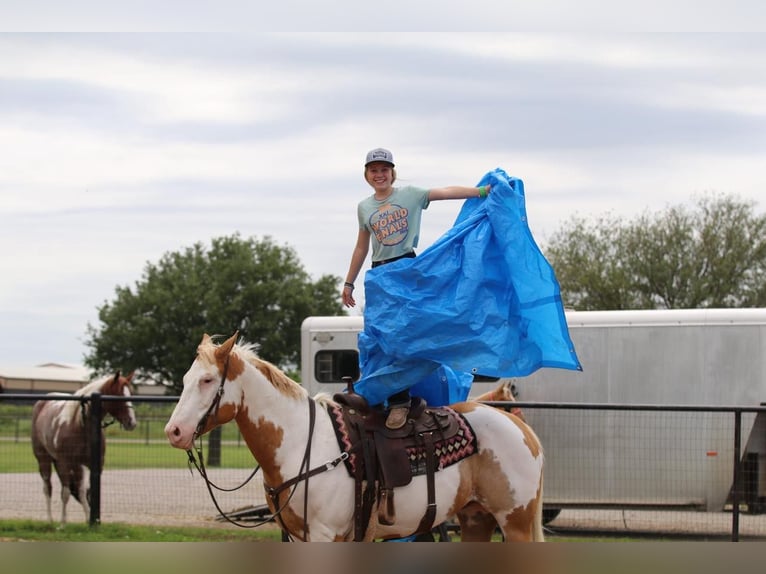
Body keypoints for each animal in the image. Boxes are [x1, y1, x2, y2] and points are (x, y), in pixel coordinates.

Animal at [31, 374, 138, 528]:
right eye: (117, 395)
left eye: (131, 393)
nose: (132, 422)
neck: (80, 425)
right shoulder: (64, 463)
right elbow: (65, 493)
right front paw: (62, 523)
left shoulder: (94, 464)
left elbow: (90, 492)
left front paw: (93, 521)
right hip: (44, 460)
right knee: (48, 488)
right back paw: (50, 519)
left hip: (76, 467)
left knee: (80, 491)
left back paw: (87, 518)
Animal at [164, 336, 544, 544]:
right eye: (185, 378)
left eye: (208, 380)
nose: (174, 431)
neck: (300, 443)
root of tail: (522, 429)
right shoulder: (298, 534)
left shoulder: (324, 533)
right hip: (476, 518)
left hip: (516, 522)